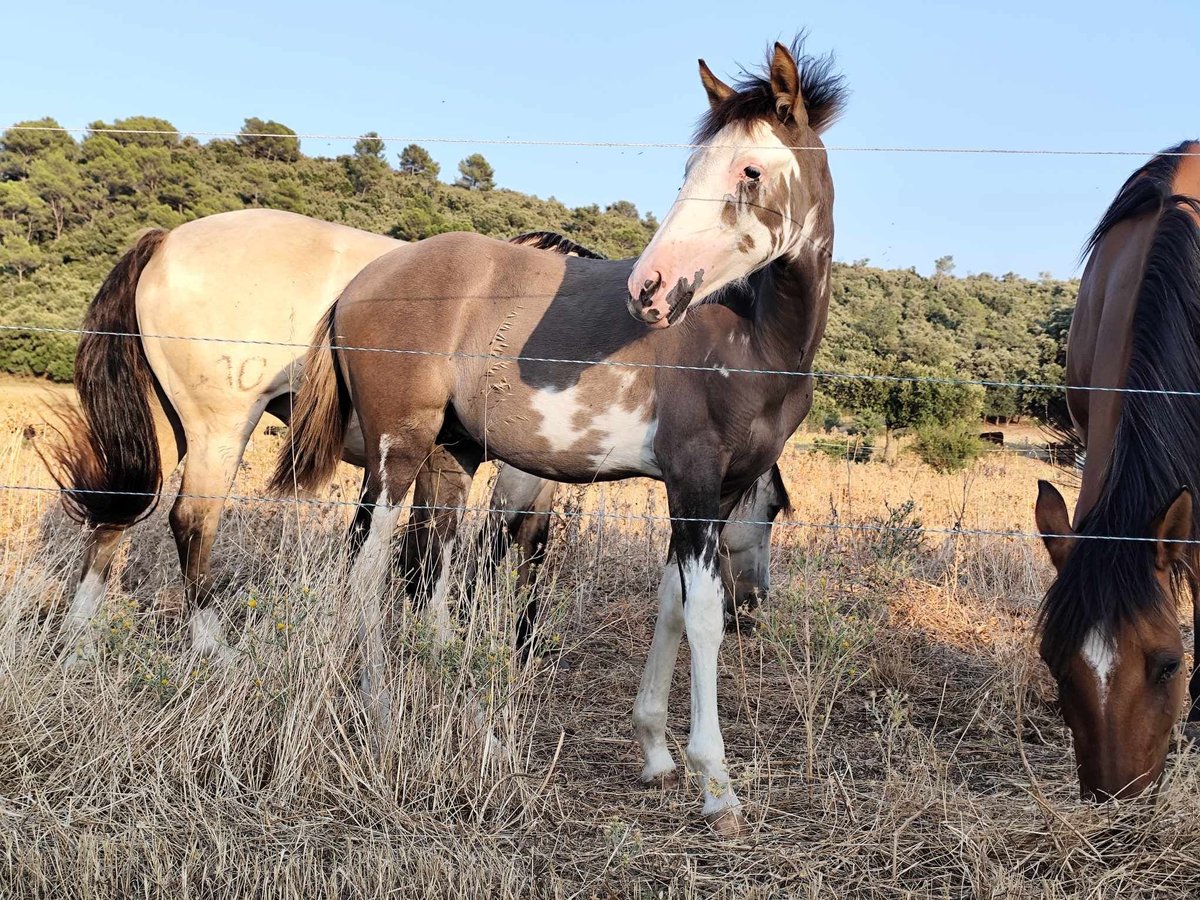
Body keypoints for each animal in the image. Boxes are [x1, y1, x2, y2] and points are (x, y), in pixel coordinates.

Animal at [270, 37, 844, 840]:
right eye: (694, 167)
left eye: (749, 170)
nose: (650, 288)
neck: (753, 334)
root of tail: (363, 281)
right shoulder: (696, 482)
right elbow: (700, 615)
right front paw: (716, 785)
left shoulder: (709, 491)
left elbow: (670, 602)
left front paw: (655, 753)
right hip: (394, 459)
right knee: (365, 574)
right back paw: (378, 711)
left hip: (452, 462)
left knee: (430, 586)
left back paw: (459, 718)